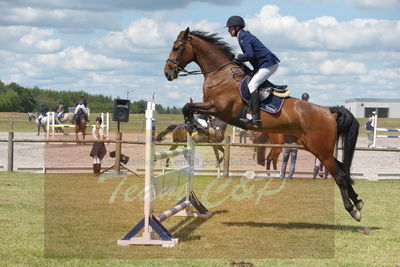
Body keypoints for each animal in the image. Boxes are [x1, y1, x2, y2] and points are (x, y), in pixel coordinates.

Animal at [164, 28, 364, 223]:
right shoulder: (213, 109)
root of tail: (329, 111)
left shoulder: (217, 108)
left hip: (320, 150)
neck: (220, 74)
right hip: (317, 148)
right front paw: (195, 127)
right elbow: (189, 108)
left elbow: (187, 107)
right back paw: (358, 201)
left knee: (339, 174)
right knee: (342, 169)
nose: (167, 73)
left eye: (176, 47)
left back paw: (352, 210)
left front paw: (194, 126)